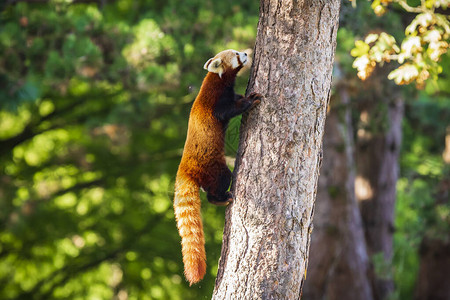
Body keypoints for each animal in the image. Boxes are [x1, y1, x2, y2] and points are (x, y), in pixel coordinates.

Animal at [174, 49, 262, 286]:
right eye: (237, 55)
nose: (246, 52)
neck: (218, 80)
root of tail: (184, 168)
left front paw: (244, 98)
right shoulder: (215, 102)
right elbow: (228, 111)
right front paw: (250, 101)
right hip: (213, 167)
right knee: (221, 181)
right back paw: (221, 198)